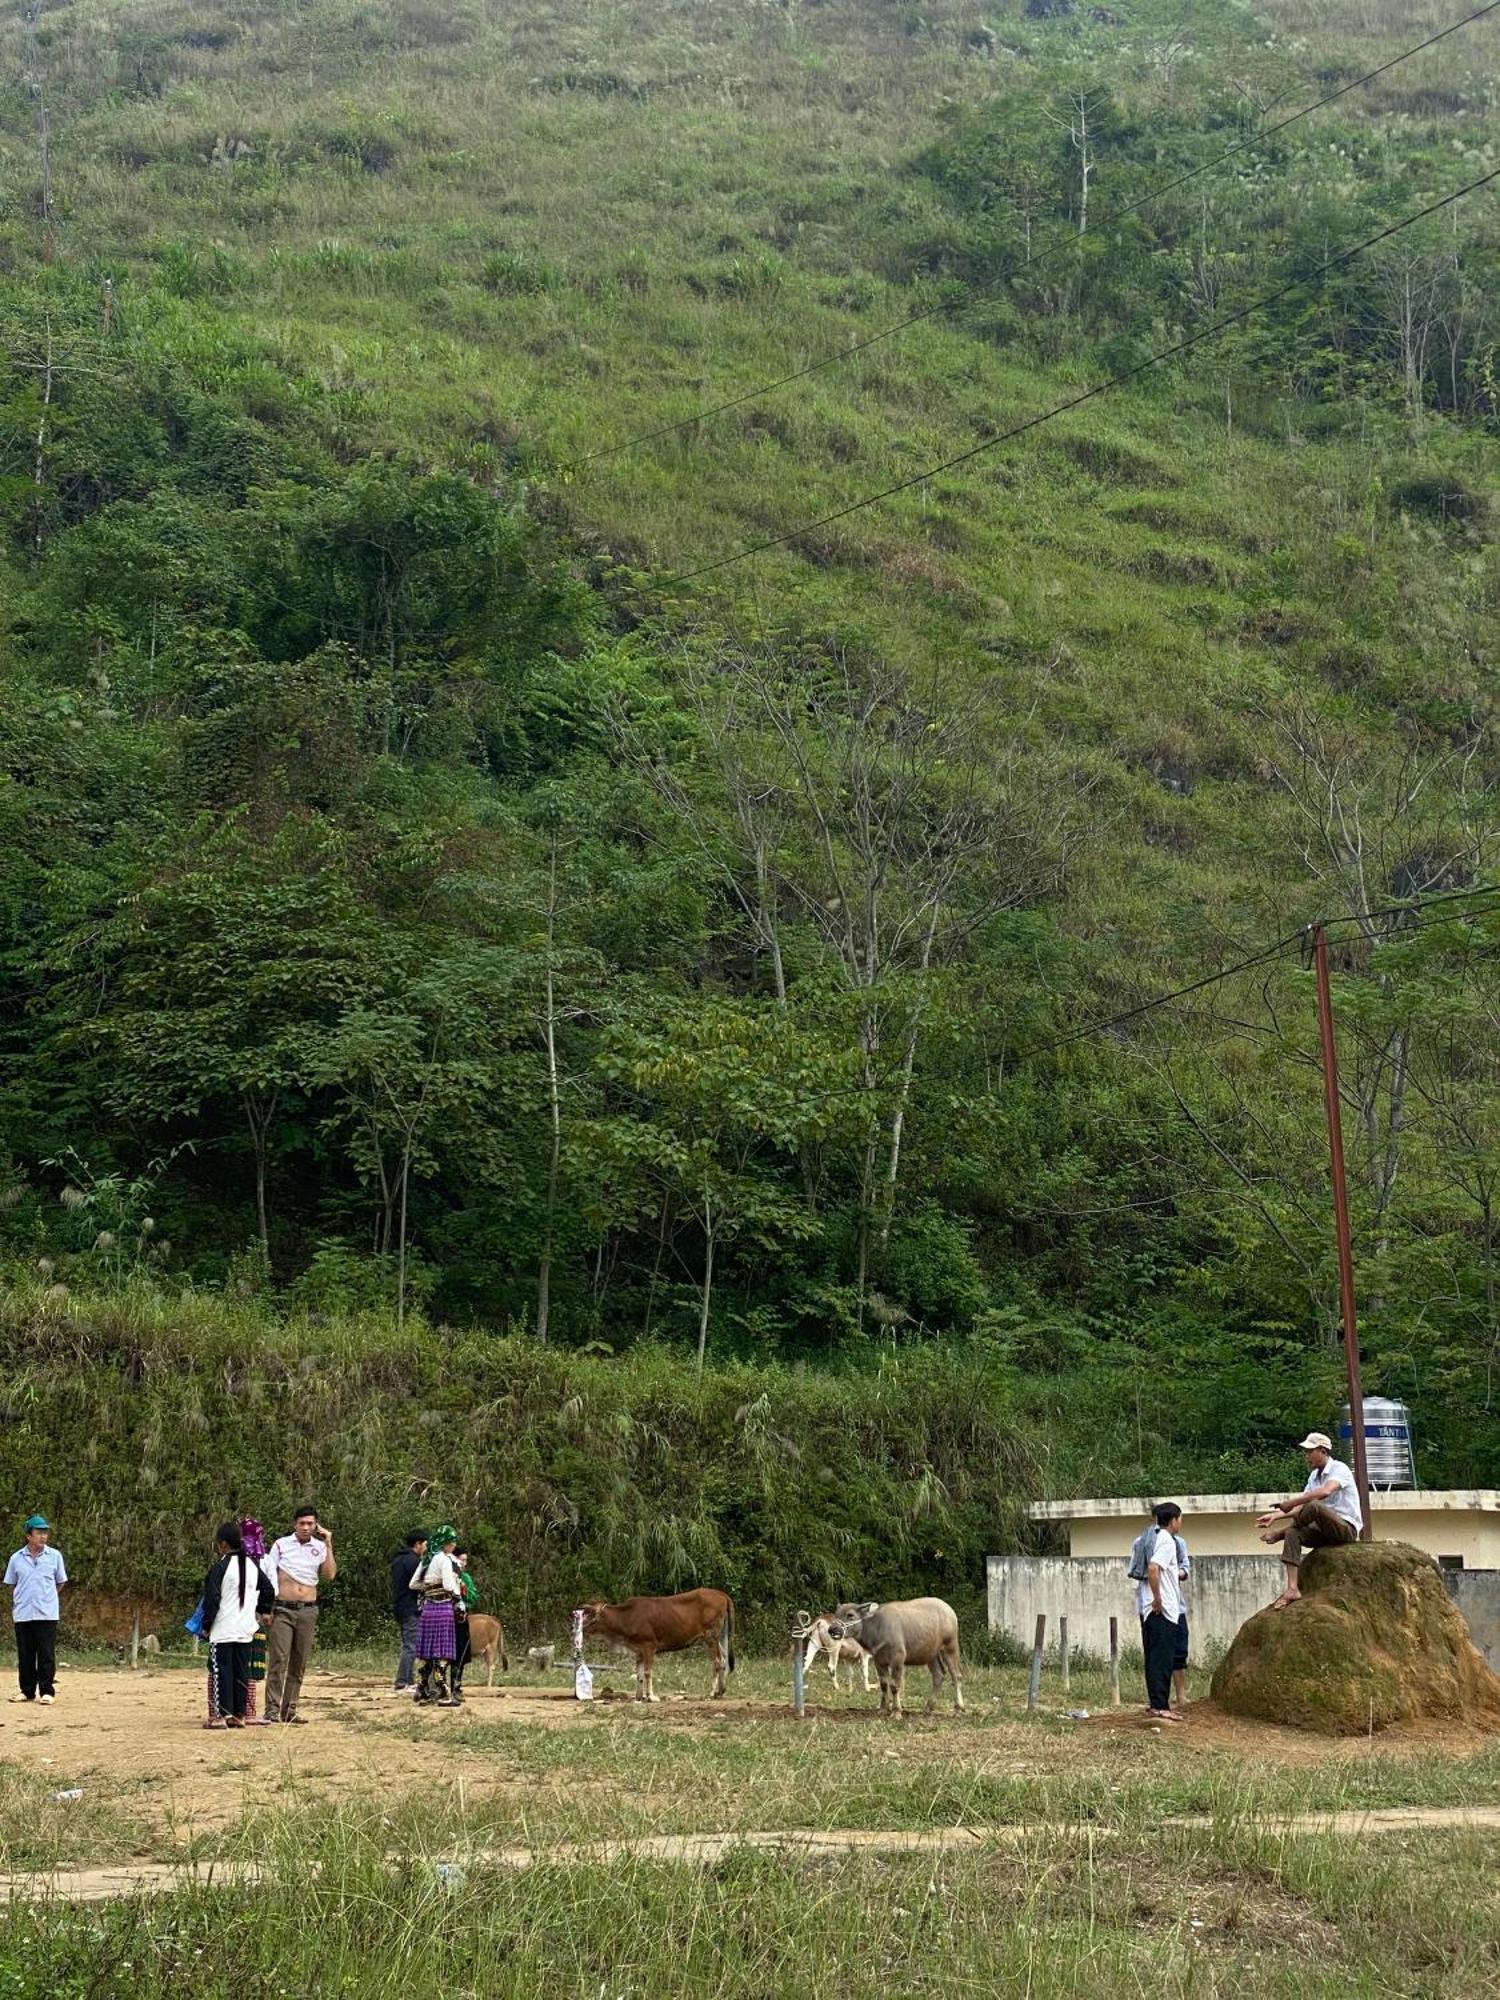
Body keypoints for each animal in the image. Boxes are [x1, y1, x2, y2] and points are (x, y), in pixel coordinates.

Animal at [580, 1584, 736, 1696]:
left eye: (590, 1616)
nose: (580, 1629)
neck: (627, 1617)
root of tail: (722, 1595)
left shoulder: (649, 1645)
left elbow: (647, 1672)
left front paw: (651, 1696)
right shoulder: (638, 1650)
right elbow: (639, 1674)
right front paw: (639, 1696)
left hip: (710, 1637)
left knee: (717, 1662)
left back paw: (712, 1692)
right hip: (719, 1637)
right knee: (724, 1660)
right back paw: (721, 1690)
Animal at [828, 1600, 968, 1712]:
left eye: (850, 1615)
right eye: (836, 1614)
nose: (832, 1629)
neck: (877, 1627)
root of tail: (949, 1610)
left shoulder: (898, 1659)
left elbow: (895, 1686)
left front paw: (896, 1711)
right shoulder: (879, 1661)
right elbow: (884, 1685)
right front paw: (882, 1709)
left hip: (950, 1646)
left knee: (956, 1675)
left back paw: (959, 1707)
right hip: (931, 1654)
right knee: (938, 1675)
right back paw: (929, 1707)